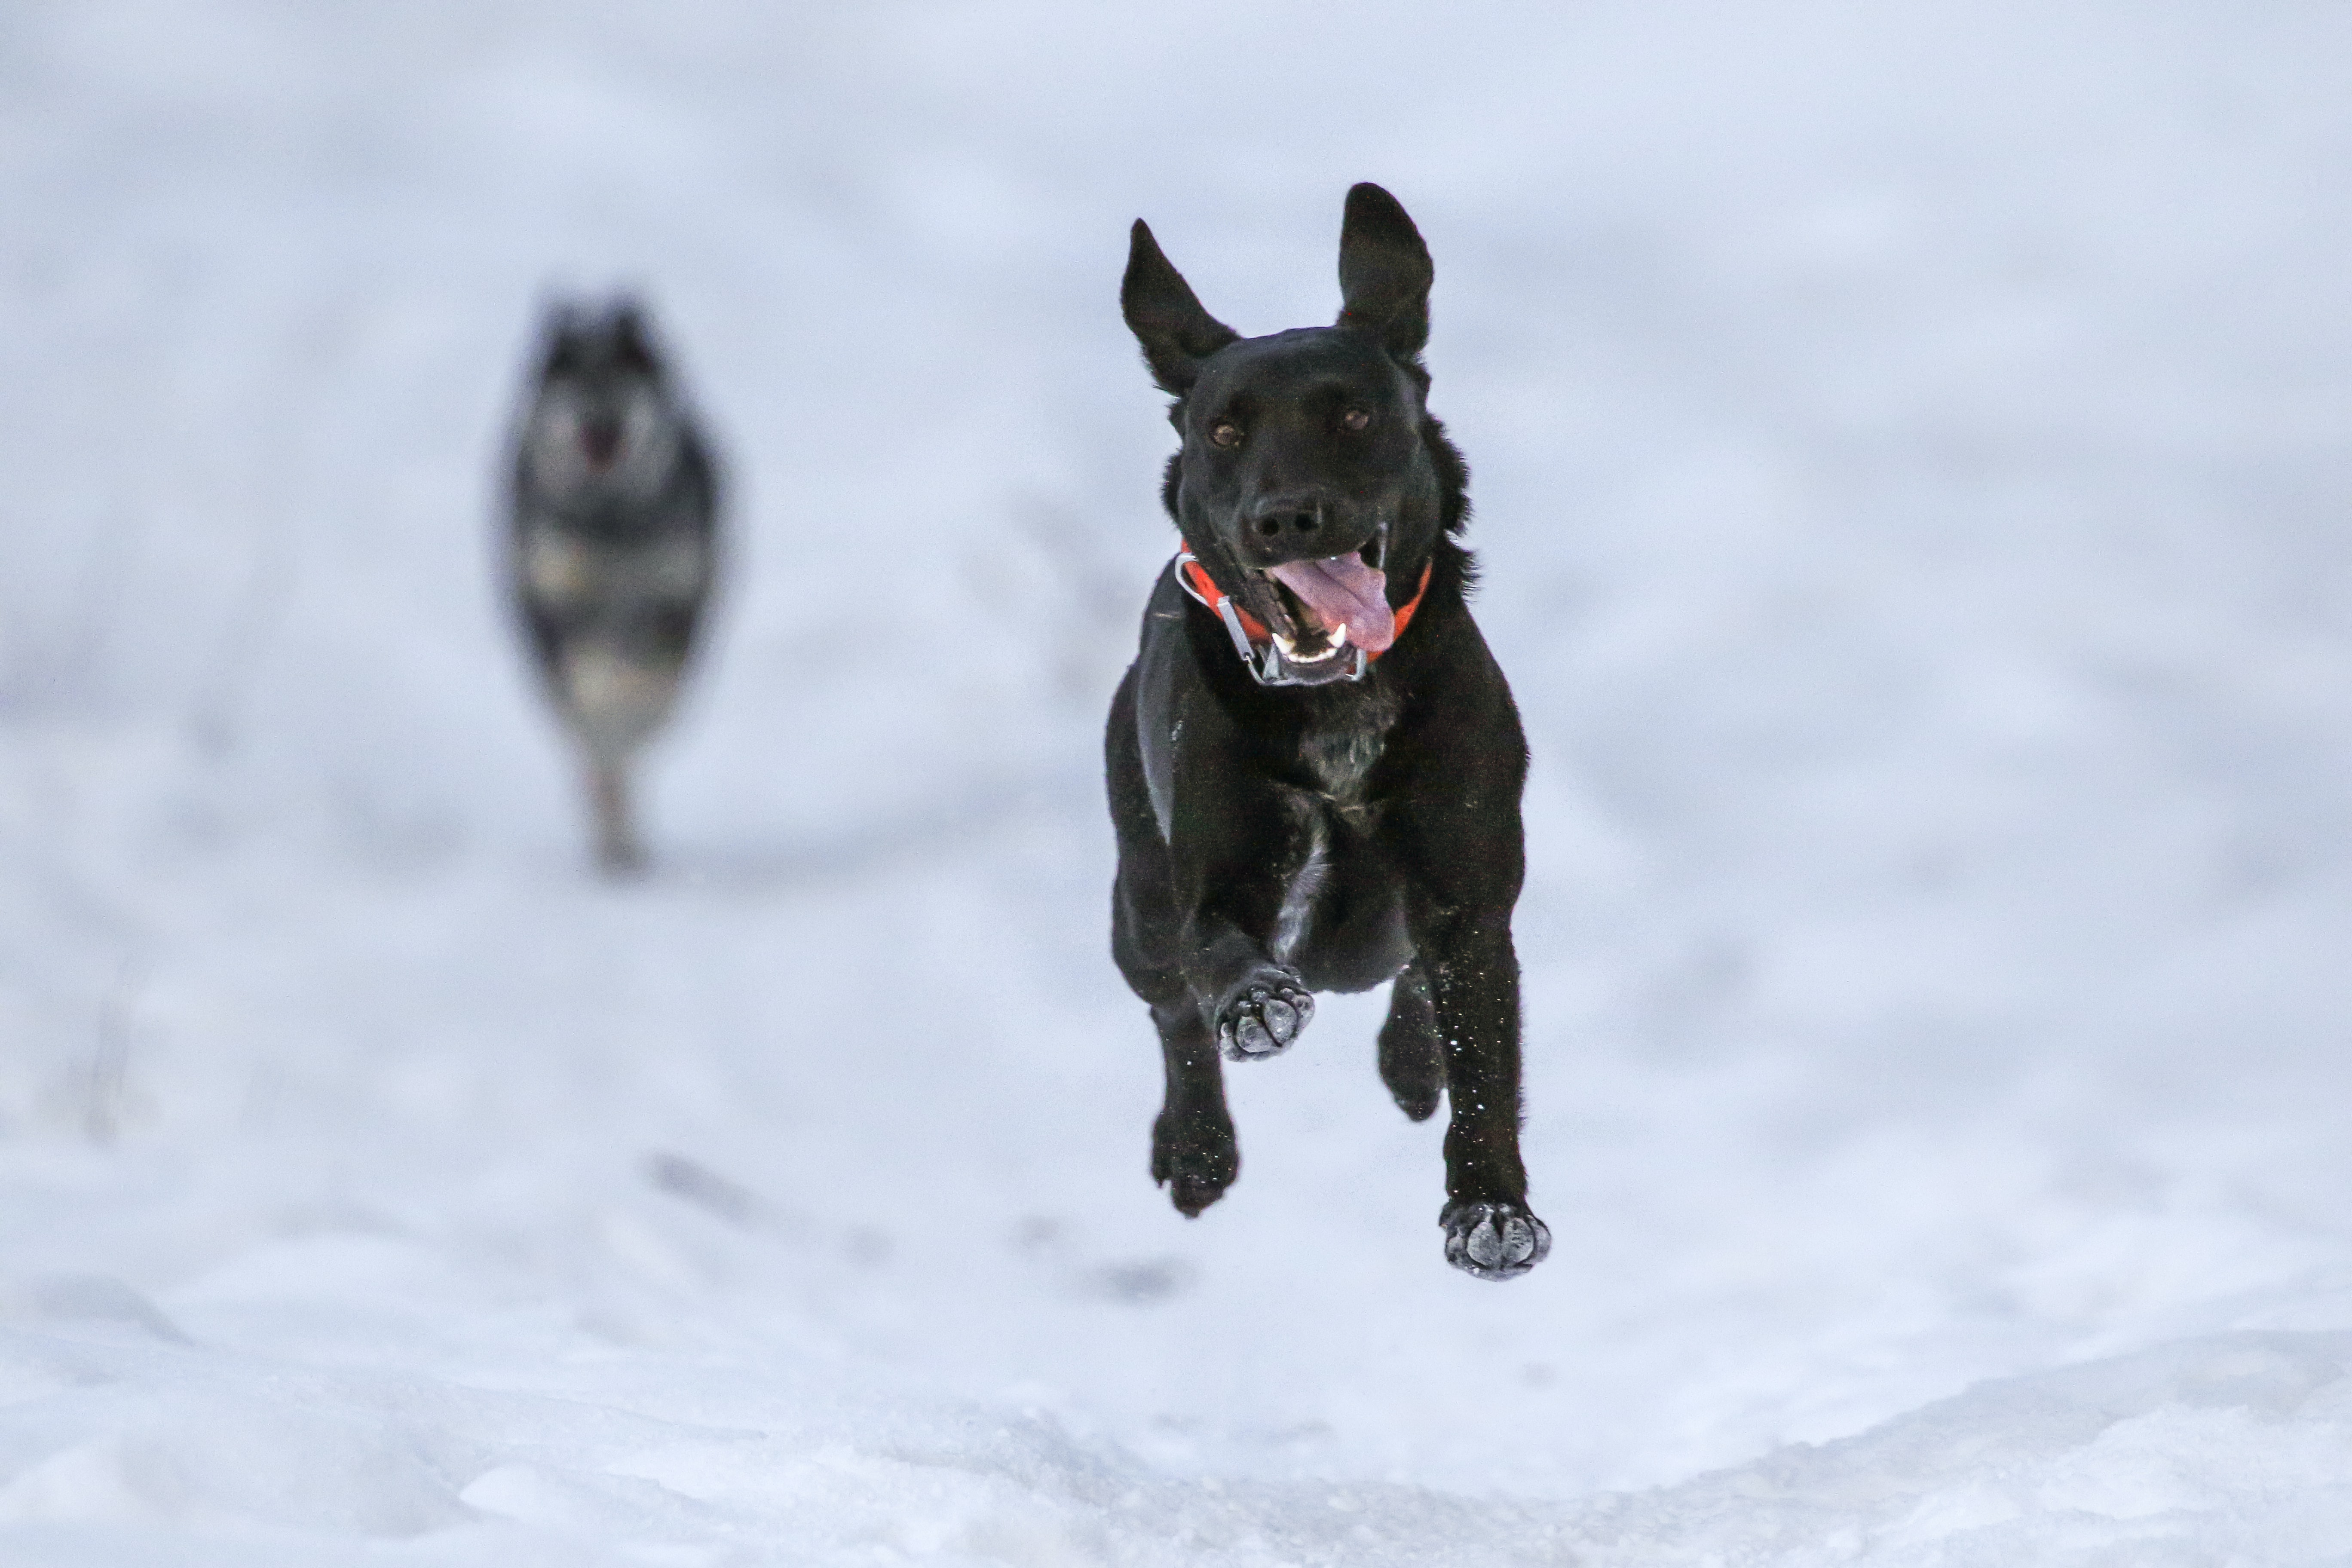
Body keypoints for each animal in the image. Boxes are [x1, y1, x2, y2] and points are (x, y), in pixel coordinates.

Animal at [499, 301, 710, 879]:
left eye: (623, 379)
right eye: (572, 383)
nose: (600, 419)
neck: (610, 520)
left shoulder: (674, 592)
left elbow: (648, 679)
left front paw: (632, 698)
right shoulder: (559, 594)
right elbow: (593, 687)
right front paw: (605, 696)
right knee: (595, 762)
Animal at [1110, 187, 1552, 1288]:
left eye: (1354, 415)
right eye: (1225, 431)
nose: (1285, 517)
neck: (1335, 710)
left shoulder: (1467, 888)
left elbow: (1484, 1048)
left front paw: (1490, 1209)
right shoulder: (1209, 877)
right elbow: (1218, 953)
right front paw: (1258, 1005)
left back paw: (1408, 1065)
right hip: (1134, 904)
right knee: (1171, 1008)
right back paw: (1197, 1147)